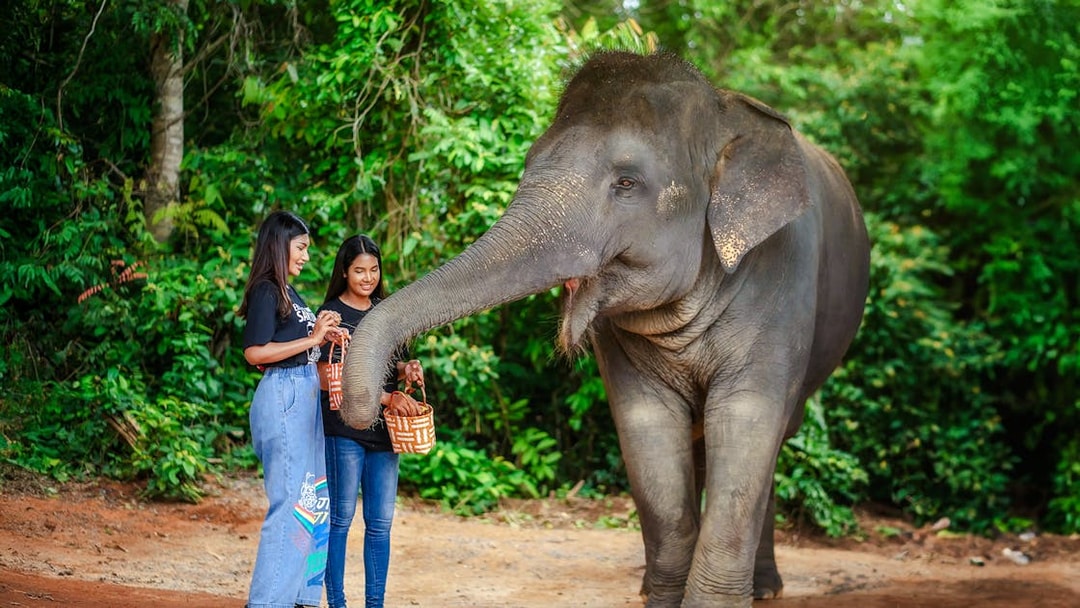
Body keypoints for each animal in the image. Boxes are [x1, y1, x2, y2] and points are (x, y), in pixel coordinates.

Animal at [340, 50, 870, 607]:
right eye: (528, 163)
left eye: (627, 183)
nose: (371, 407)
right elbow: (647, 429)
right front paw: (664, 600)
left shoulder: (783, 280)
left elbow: (748, 422)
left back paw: (765, 589)